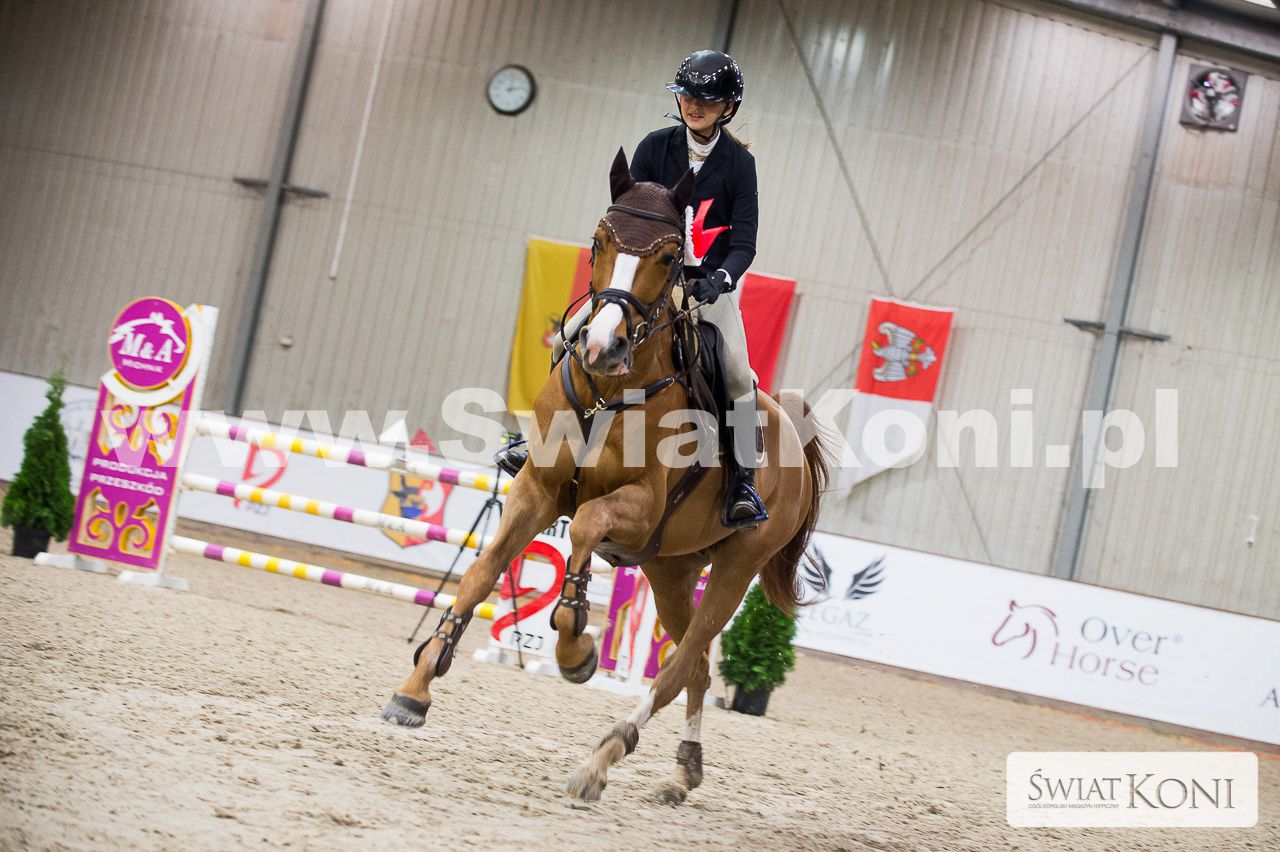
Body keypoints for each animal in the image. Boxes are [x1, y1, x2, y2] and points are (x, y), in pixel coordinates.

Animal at [382, 148, 831, 804]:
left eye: (669, 257)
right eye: (599, 241)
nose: (601, 347)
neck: (609, 390)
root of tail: (798, 438)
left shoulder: (639, 505)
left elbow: (587, 524)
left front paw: (575, 649)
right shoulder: (536, 490)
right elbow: (482, 574)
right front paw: (414, 690)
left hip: (735, 565)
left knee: (679, 665)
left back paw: (604, 756)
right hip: (671, 568)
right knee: (697, 668)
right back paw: (682, 773)